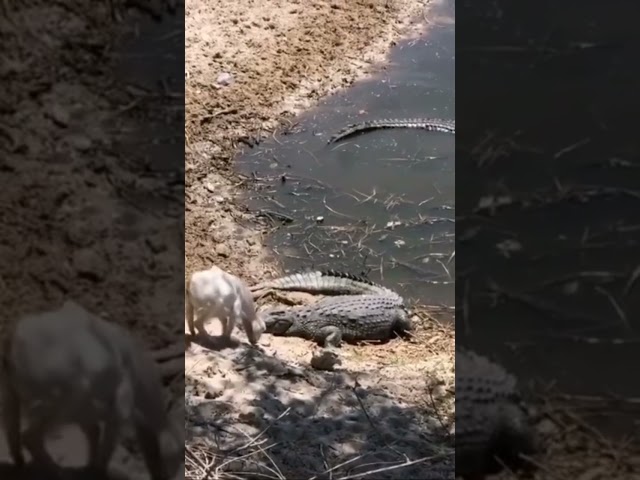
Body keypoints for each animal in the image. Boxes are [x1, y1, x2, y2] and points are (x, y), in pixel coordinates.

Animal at [0, 302, 182, 478]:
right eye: (177, 460)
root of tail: (13, 339)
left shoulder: (87, 412)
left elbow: (94, 433)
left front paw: (90, 467)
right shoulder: (119, 410)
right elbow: (107, 443)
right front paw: (98, 470)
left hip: (13, 396)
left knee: (14, 432)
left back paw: (21, 465)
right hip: (60, 401)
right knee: (29, 437)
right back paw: (57, 471)